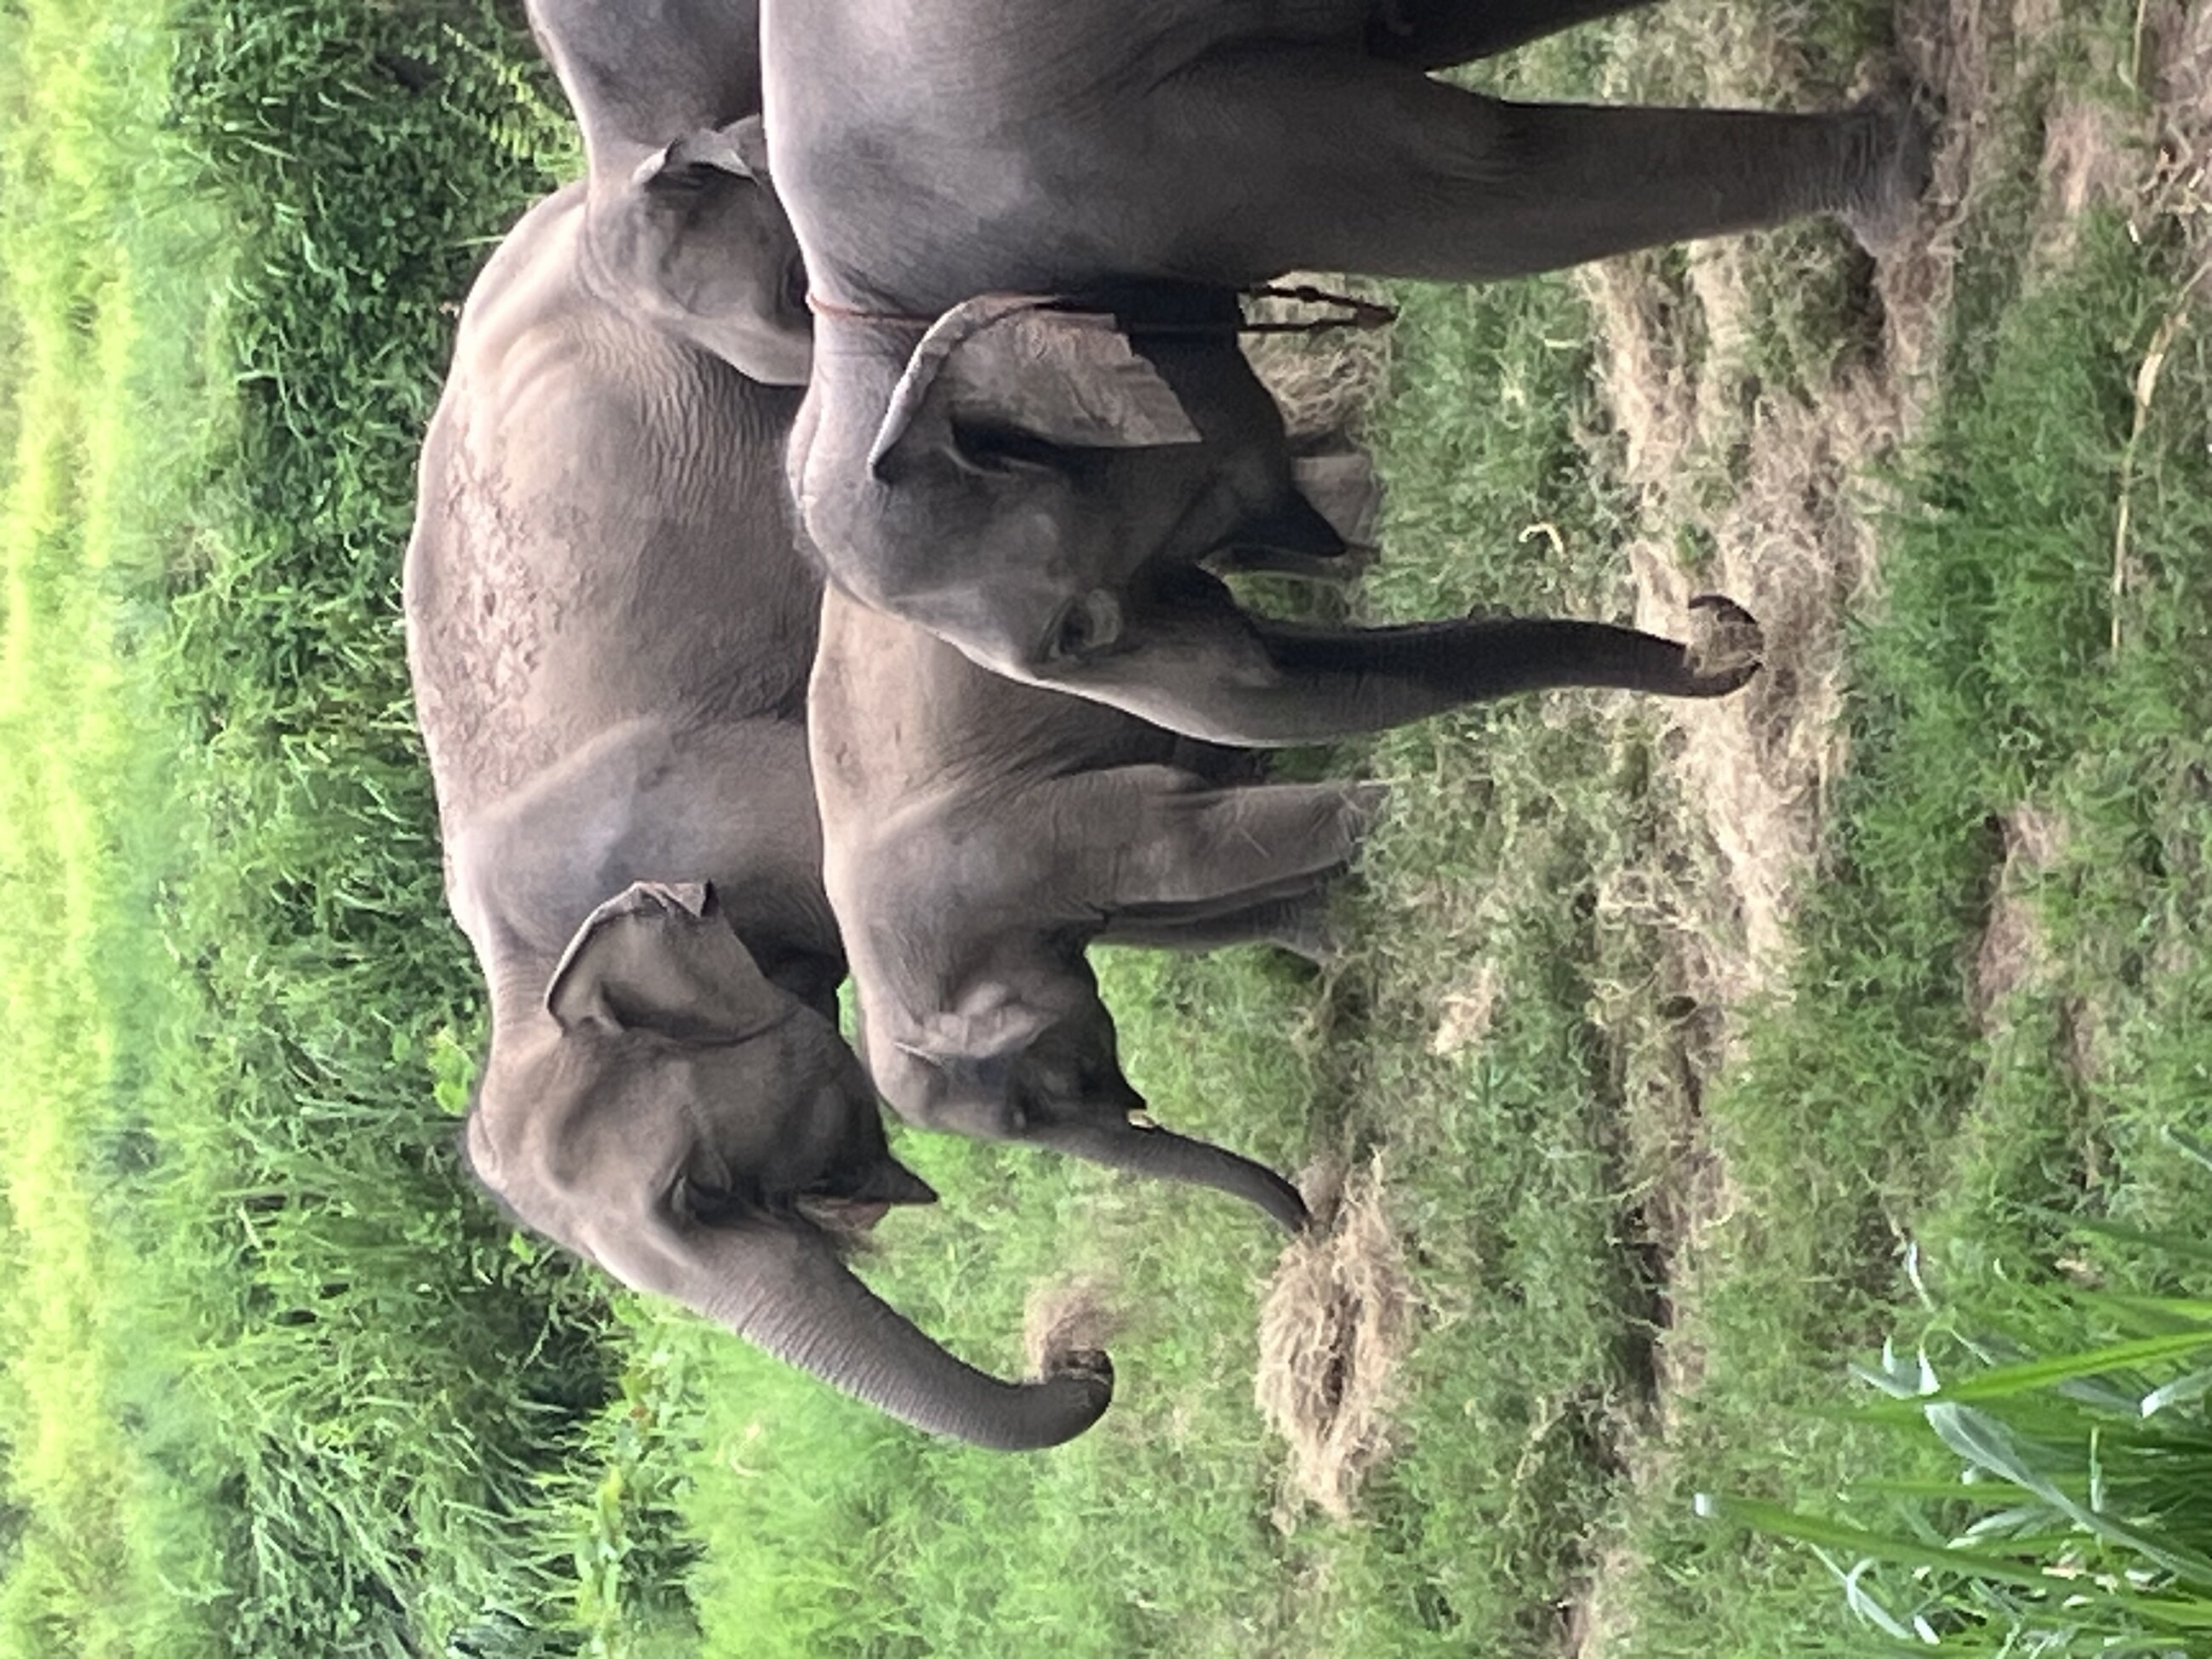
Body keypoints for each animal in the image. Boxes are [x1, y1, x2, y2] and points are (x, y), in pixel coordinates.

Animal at [766, 0, 1929, 744]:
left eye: (1077, 632)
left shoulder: (1133, 152)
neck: (860, 310)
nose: (1720, 614)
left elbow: (1482, 188)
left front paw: (1897, 182)